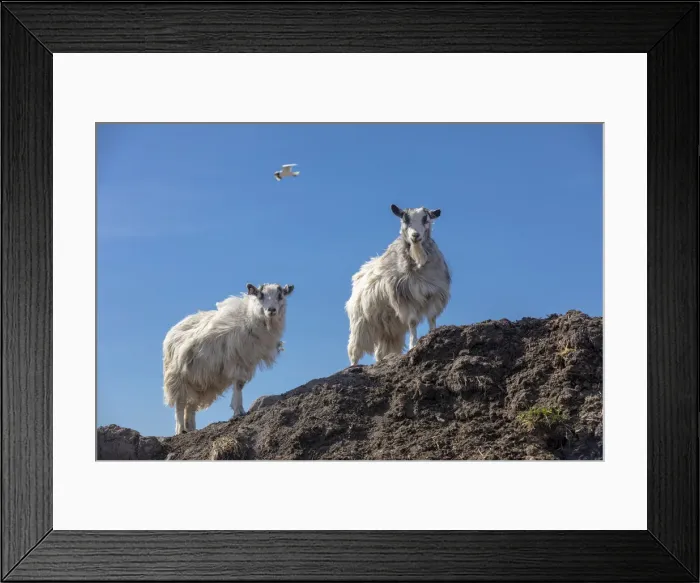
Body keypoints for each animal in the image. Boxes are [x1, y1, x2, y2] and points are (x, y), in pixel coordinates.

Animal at [163, 283, 294, 435]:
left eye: (280, 296)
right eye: (260, 296)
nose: (271, 310)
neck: (249, 318)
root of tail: (174, 328)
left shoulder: (246, 363)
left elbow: (240, 385)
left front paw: (239, 410)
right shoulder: (236, 361)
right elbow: (238, 385)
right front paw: (238, 411)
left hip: (197, 381)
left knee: (190, 406)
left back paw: (191, 428)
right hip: (178, 377)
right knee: (180, 403)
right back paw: (181, 430)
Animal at [345, 204, 451, 365]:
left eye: (426, 219)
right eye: (405, 219)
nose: (415, 236)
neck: (418, 262)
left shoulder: (434, 294)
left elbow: (432, 318)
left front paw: (434, 335)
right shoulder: (405, 297)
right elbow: (412, 322)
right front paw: (413, 345)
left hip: (388, 327)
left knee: (380, 351)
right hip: (360, 322)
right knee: (355, 348)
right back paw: (353, 366)